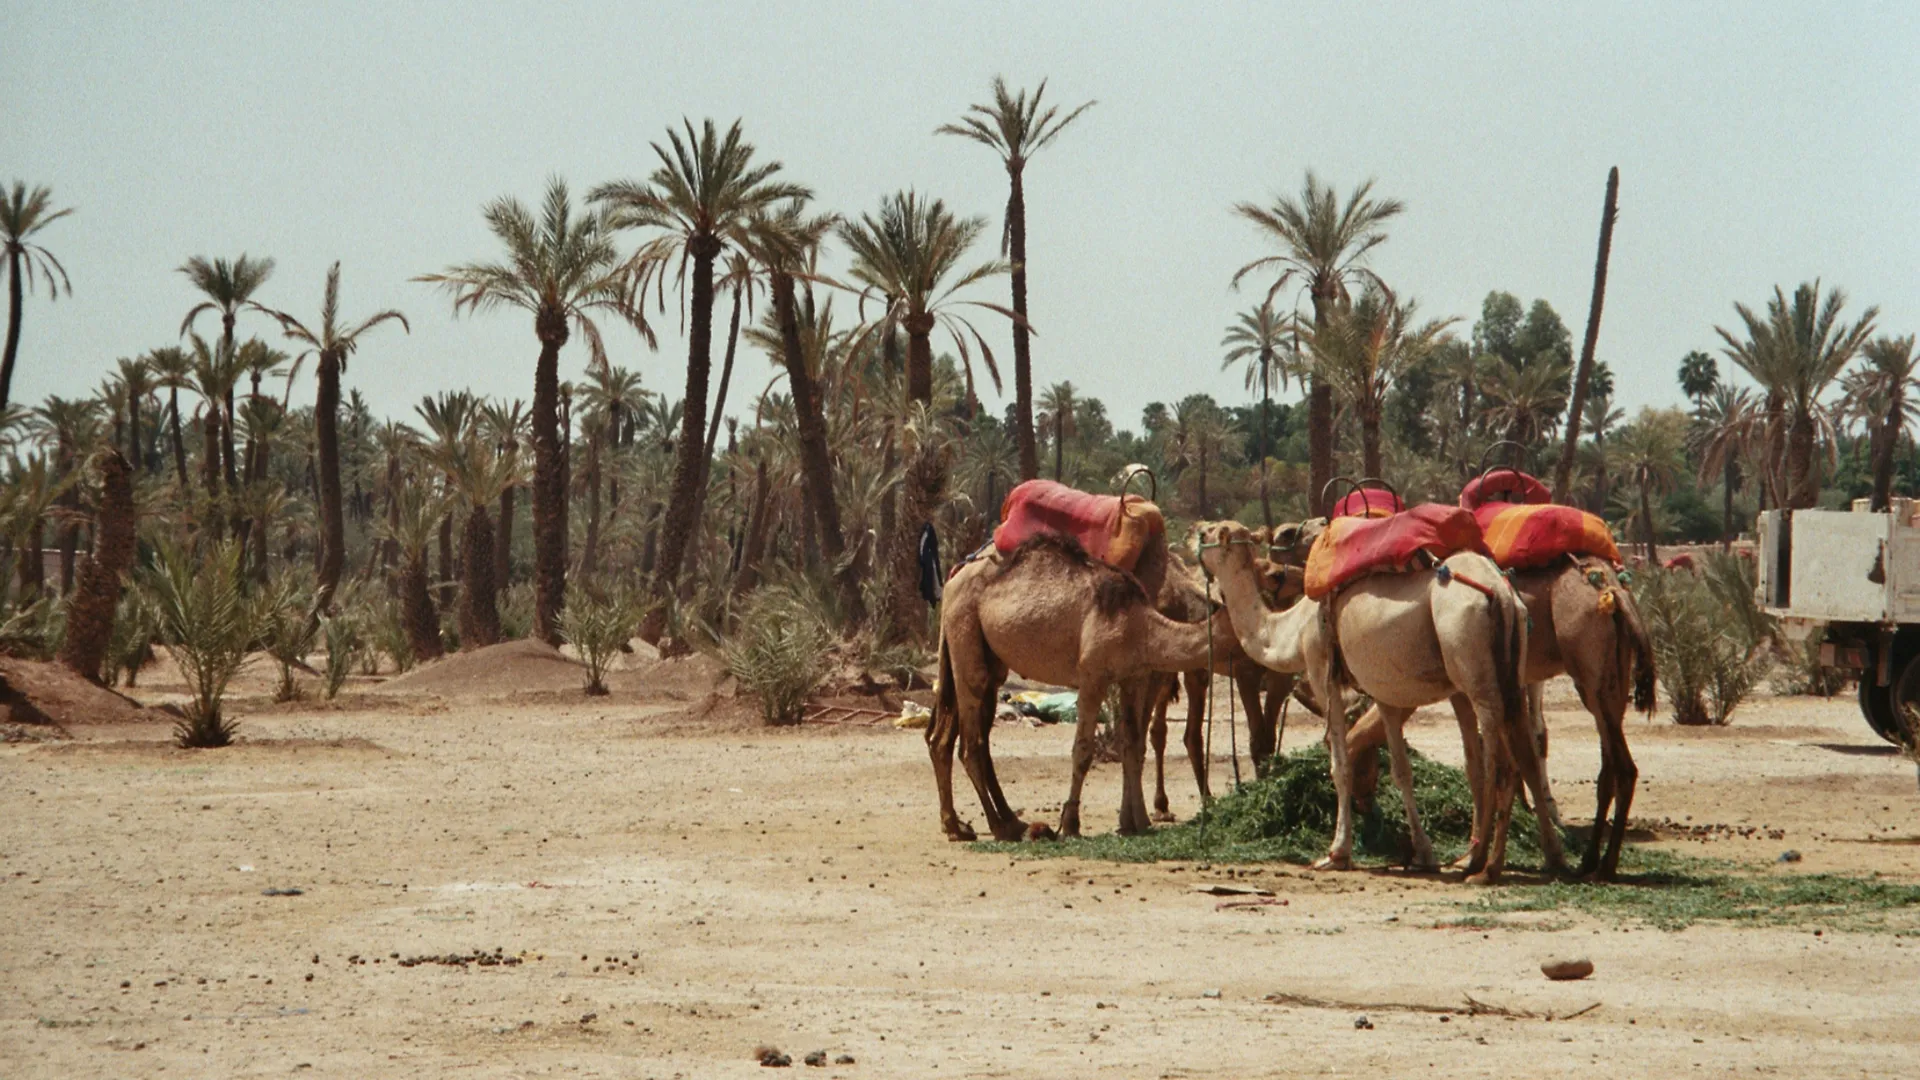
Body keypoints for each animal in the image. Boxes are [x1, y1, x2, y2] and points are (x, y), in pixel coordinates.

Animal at [928, 533, 1238, 842]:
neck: (1142, 624)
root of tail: (953, 580)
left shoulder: (1134, 677)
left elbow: (1131, 743)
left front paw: (1136, 821)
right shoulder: (1093, 677)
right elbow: (1083, 750)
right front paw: (1071, 824)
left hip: (986, 656)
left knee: (949, 738)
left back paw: (977, 824)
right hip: (964, 631)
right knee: (970, 743)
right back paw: (998, 827)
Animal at [1195, 520, 1561, 883]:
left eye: (1208, 533)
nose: (1191, 533)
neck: (1292, 631)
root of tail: (1500, 594)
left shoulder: (1322, 672)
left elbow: (1339, 764)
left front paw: (1336, 853)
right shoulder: (1383, 691)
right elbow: (1401, 770)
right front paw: (1423, 853)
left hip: (1472, 662)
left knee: (1498, 762)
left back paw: (1483, 865)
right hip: (1509, 666)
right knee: (1521, 752)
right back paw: (1548, 858)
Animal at [1346, 555, 1654, 878]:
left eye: (1367, 768)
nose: (1362, 804)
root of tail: (1612, 588)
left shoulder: (1438, 685)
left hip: (1588, 674)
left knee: (1618, 765)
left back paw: (1600, 864)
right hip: (1610, 682)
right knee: (1613, 766)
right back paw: (1591, 860)